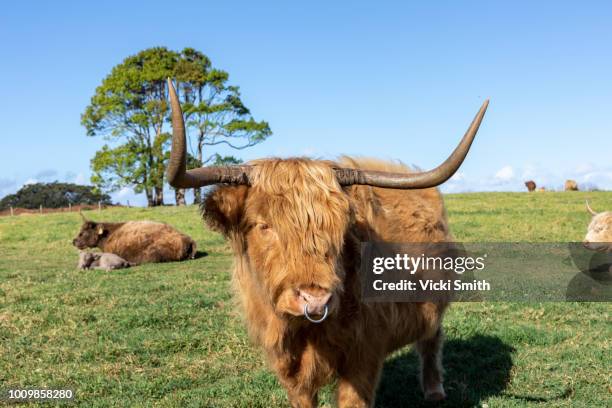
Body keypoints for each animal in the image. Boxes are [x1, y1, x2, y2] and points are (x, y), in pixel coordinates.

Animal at [166, 78, 488, 406]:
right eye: (263, 225)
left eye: (342, 226)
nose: (315, 300)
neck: (303, 332)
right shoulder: (287, 365)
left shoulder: (363, 355)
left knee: (432, 339)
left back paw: (434, 391)